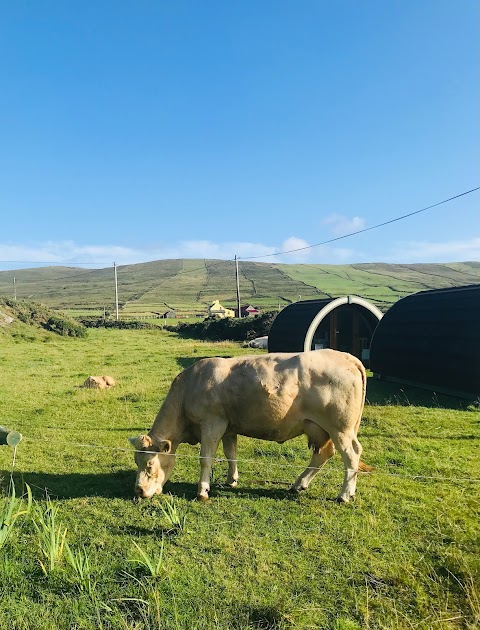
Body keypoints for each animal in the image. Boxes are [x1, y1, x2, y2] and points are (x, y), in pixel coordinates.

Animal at [129, 350, 370, 504]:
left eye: (150, 464)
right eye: (136, 461)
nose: (138, 490)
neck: (190, 387)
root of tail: (347, 357)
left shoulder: (212, 423)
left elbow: (206, 458)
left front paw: (203, 491)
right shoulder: (228, 427)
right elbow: (231, 454)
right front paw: (231, 480)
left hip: (341, 428)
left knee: (351, 456)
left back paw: (344, 495)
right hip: (322, 429)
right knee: (323, 455)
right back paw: (299, 484)